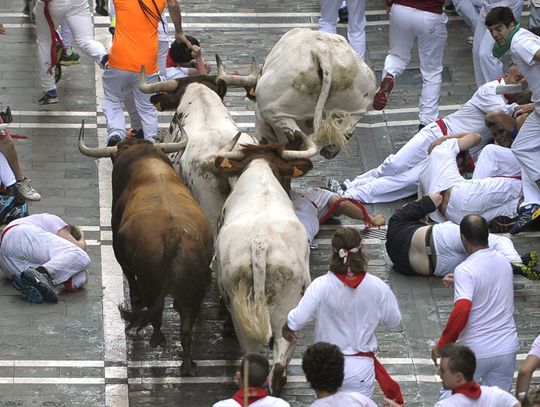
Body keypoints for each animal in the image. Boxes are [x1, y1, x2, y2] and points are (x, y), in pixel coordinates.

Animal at [78, 123, 213, 376]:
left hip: (152, 283)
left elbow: (129, 275)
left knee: (156, 313)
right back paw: (188, 366)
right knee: (186, 327)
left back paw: (156, 340)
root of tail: (173, 234)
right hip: (195, 290)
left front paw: (135, 298)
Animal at [250, 28, 376, 159]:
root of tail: (322, 50)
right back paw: (329, 150)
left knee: (293, 137)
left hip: (274, 111)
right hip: (356, 108)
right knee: (348, 128)